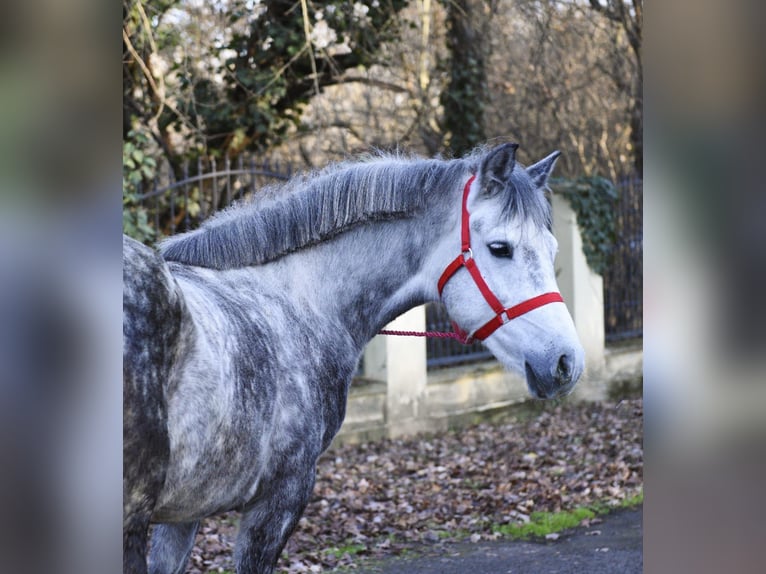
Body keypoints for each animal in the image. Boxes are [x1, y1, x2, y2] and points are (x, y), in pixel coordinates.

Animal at [123, 143, 585, 573]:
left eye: (552, 248)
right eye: (500, 248)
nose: (566, 362)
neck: (300, 302)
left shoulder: (185, 514)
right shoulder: (279, 498)